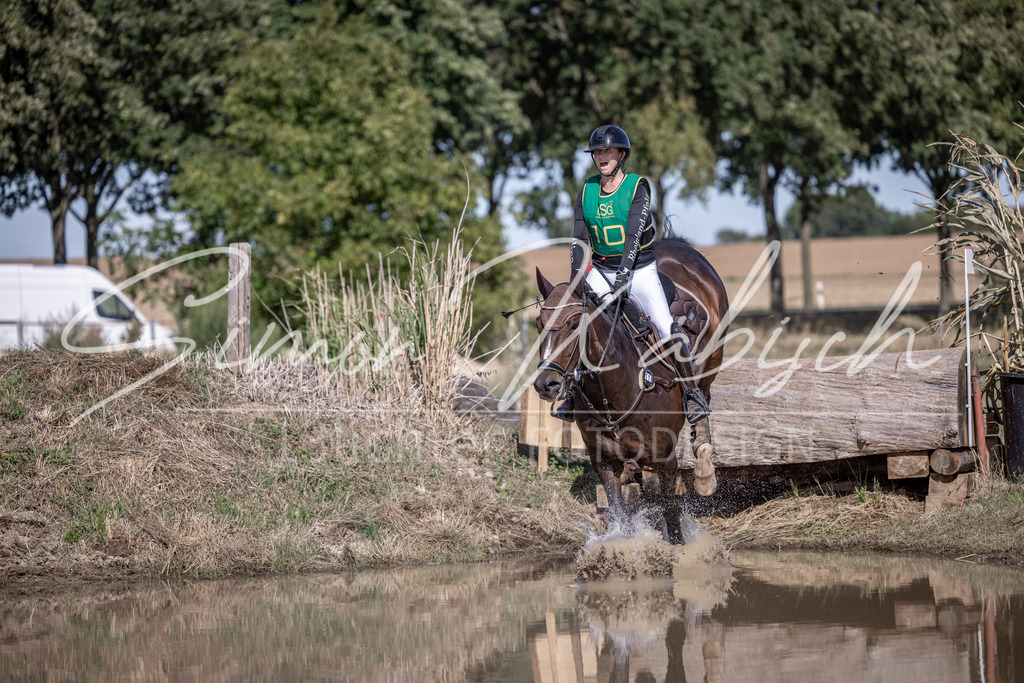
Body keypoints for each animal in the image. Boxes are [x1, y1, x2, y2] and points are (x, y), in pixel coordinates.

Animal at [532, 238, 729, 543]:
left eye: (575, 324)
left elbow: (671, 517)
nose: (546, 383)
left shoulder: (665, 458)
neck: (613, 393)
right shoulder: (604, 462)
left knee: (702, 402)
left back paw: (705, 471)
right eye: (539, 324)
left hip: (711, 365)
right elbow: (620, 515)